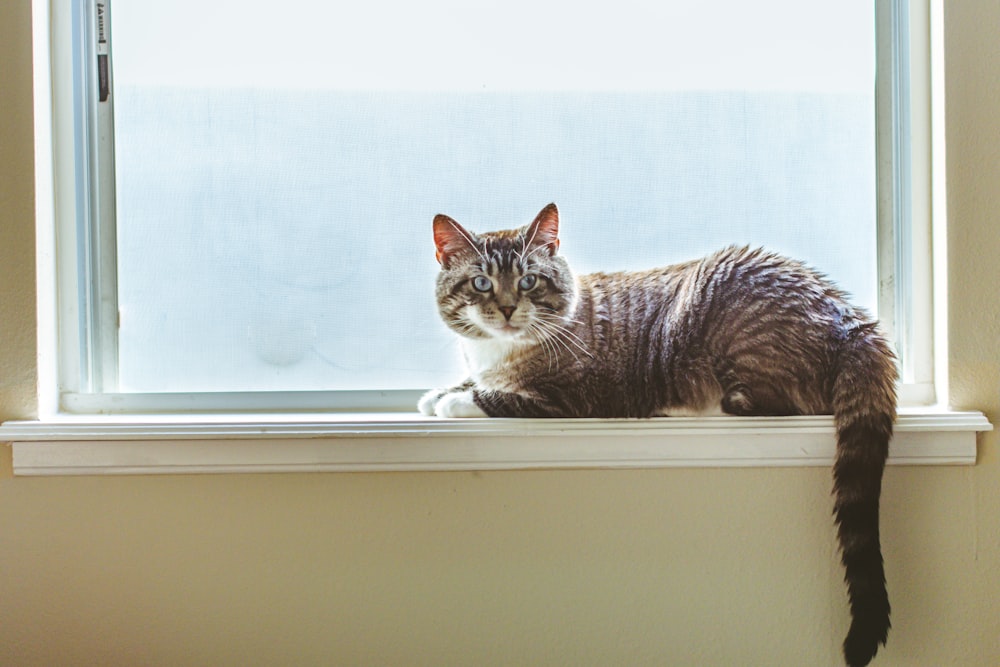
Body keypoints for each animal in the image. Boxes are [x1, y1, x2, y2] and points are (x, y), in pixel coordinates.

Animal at [420, 204, 900, 667]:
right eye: (481, 282)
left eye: (529, 280)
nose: (505, 309)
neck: (502, 350)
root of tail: (854, 320)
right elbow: (474, 380)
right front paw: (438, 392)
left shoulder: (576, 400)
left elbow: (500, 396)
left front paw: (454, 401)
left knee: (778, 402)